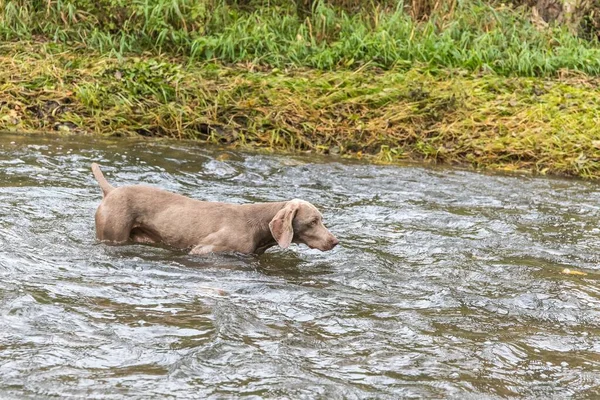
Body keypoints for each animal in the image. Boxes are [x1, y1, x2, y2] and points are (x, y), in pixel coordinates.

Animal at [91, 163, 340, 255]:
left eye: (322, 219)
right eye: (313, 221)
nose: (335, 241)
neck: (257, 226)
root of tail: (111, 191)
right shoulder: (204, 249)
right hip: (113, 231)